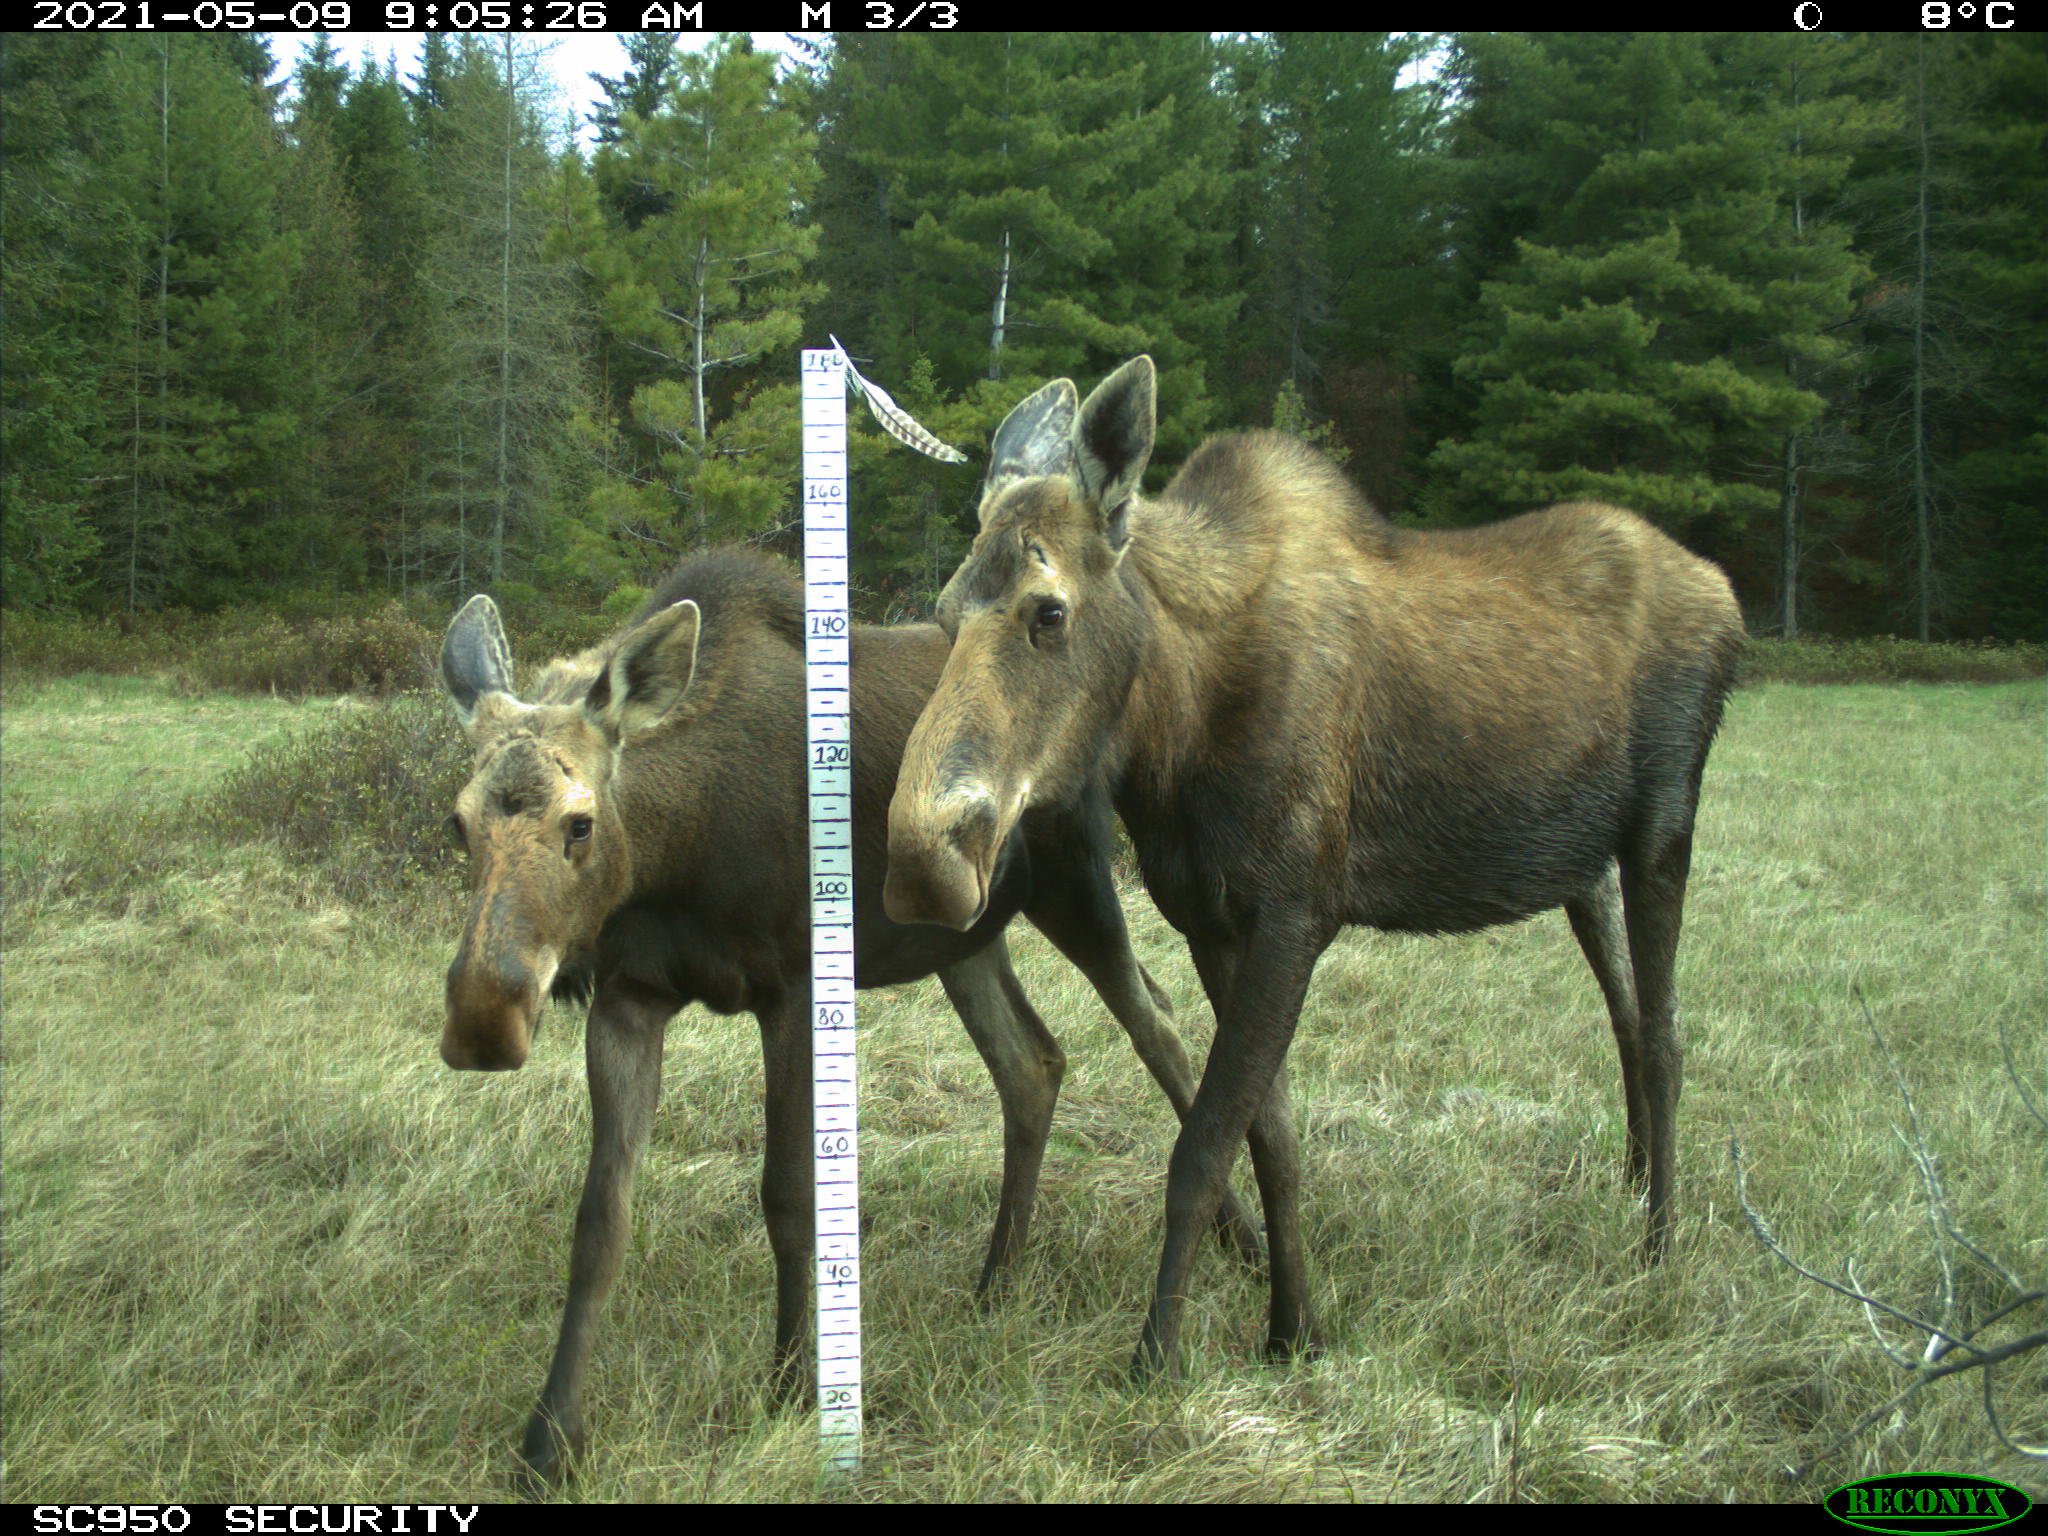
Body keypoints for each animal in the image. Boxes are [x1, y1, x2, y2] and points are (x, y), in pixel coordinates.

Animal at [440, 548, 1253, 1490]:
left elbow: (790, 1196)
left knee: (1158, 1023)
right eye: (457, 823)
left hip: (1075, 881)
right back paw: (998, 1278)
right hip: (959, 933)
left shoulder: (792, 982)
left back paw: (1242, 1245)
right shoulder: (628, 996)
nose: (482, 1018)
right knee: (1034, 1063)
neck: (674, 855)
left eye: (580, 823)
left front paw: (794, 1384)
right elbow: (600, 1221)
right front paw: (550, 1438)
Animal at [888, 360, 1736, 1384]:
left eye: (1048, 611)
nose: (923, 856)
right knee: (1628, 1022)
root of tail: (1728, 594)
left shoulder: (1296, 912)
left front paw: (1158, 1356)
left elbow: (1203, 1145)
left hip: (1664, 828)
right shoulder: (1214, 924)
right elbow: (1273, 1140)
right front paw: (1295, 1327)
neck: (1172, 732)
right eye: (944, 614)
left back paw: (1660, 1247)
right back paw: (1634, 1191)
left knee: (1667, 1039)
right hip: (1585, 867)